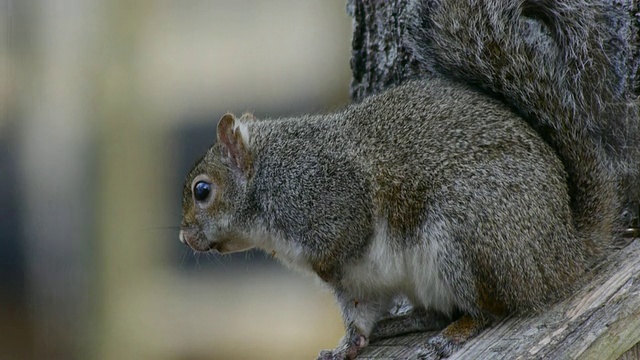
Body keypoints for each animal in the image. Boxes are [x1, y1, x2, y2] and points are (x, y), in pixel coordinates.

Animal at [179, 0, 632, 360]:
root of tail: (564, 248)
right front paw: (347, 346)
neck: (269, 175)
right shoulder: (358, 283)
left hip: (467, 231)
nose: (184, 237)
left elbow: (347, 237)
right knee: (435, 310)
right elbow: (358, 313)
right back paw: (402, 324)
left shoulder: (330, 195)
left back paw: (455, 333)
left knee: (489, 310)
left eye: (202, 190)